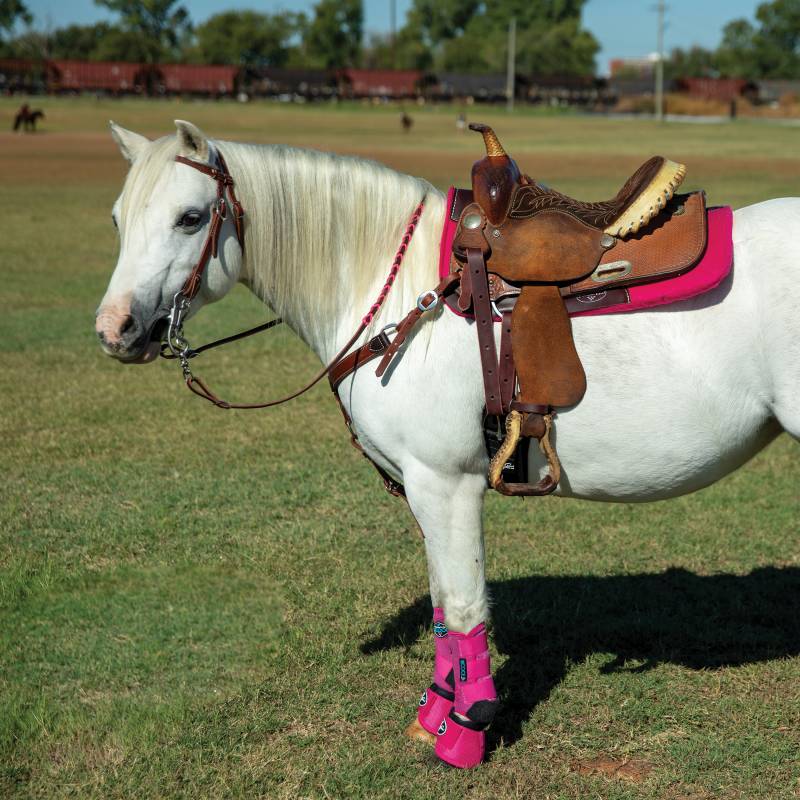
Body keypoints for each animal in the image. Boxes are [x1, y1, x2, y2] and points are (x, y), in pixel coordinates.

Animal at [96, 120, 800, 768]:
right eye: (117, 218)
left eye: (190, 218)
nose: (113, 329)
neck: (394, 289)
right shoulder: (423, 486)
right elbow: (441, 603)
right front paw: (433, 715)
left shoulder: (446, 482)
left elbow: (463, 607)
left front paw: (466, 730)